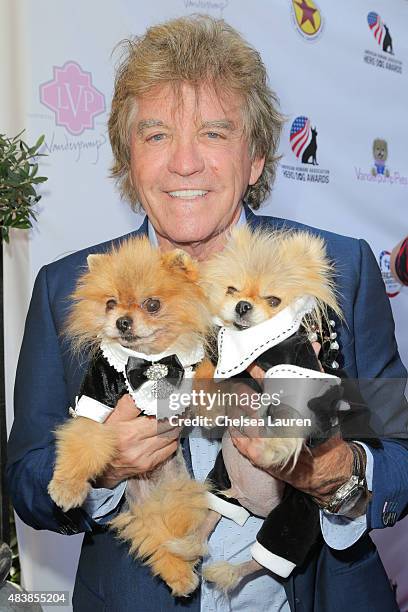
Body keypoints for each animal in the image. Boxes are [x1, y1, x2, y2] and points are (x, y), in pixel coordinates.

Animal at [47, 235, 214, 596]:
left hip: (176, 504)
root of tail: (149, 497)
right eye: (110, 303)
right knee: (156, 539)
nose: (122, 321)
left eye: (152, 305)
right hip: (146, 512)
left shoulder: (188, 378)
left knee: (170, 537)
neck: (149, 361)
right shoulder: (95, 401)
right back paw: (179, 576)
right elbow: (83, 443)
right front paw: (67, 488)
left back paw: (181, 573)